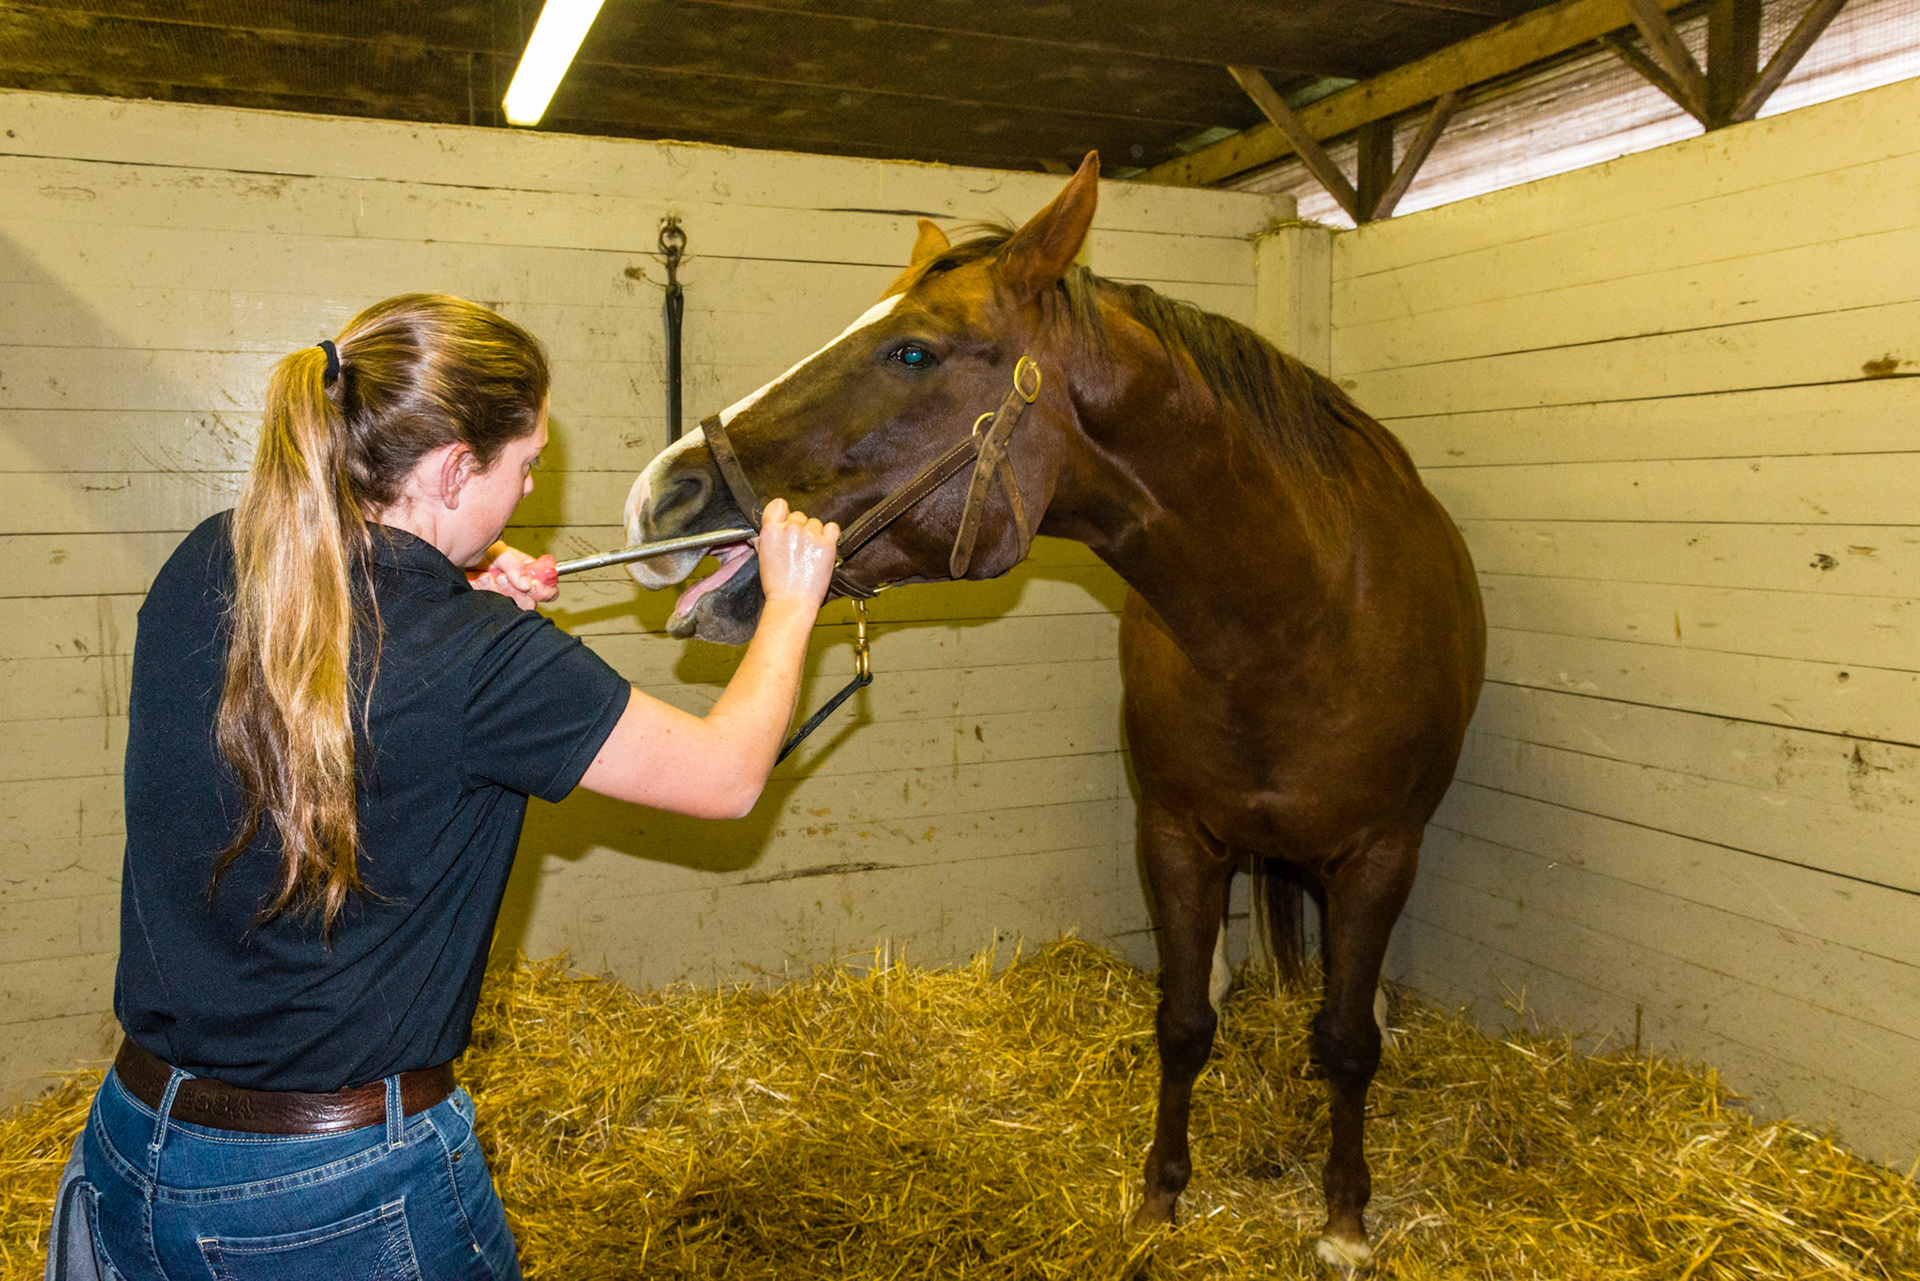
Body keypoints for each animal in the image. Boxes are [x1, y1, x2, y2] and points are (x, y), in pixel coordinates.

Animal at [621, 154, 1485, 1268]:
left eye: (913, 350)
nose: (662, 497)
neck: (1291, 618)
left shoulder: (1378, 853)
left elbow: (1344, 1041)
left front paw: (1342, 1221)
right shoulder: (1174, 836)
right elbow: (1183, 1021)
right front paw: (1161, 1202)